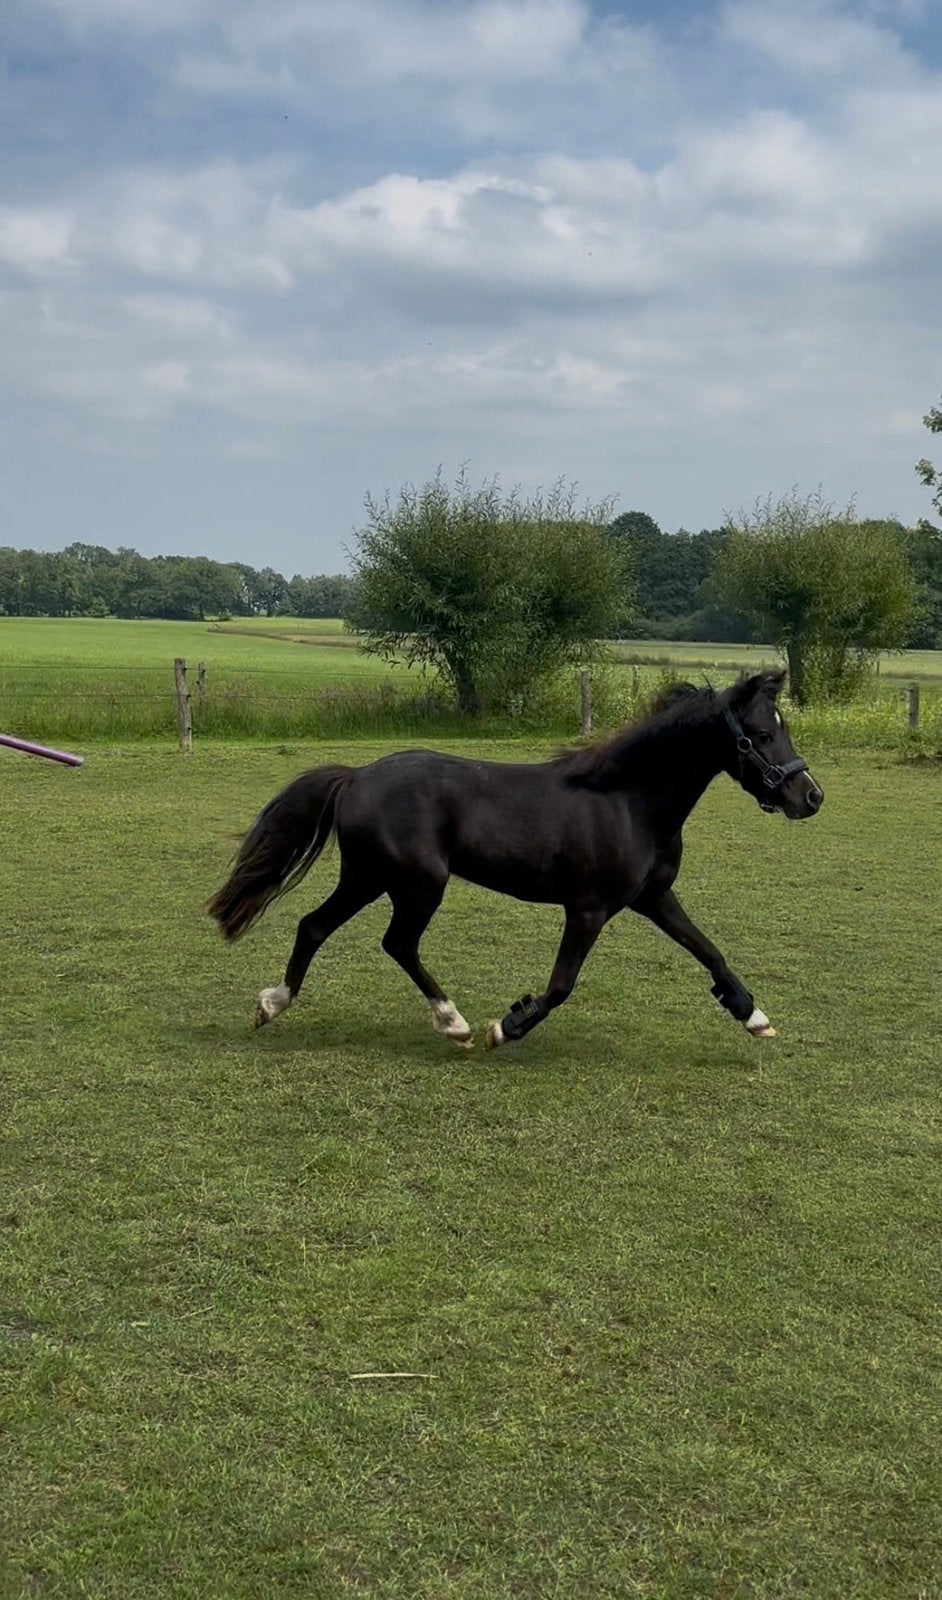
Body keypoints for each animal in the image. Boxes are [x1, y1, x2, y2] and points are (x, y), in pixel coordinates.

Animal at [208, 668, 823, 1050]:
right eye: (758, 735)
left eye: (784, 728)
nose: (811, 797)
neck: (627, 801)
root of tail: (356, 777)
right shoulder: (588, 909)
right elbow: (561, 986)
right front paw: (505, 1026)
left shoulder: (653, 897)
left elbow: (709, 951)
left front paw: (754, 1016)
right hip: (416, 882)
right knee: (396, 943)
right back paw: (453, 1023)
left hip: (368, 877)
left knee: (315, 926)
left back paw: (272, 1004)